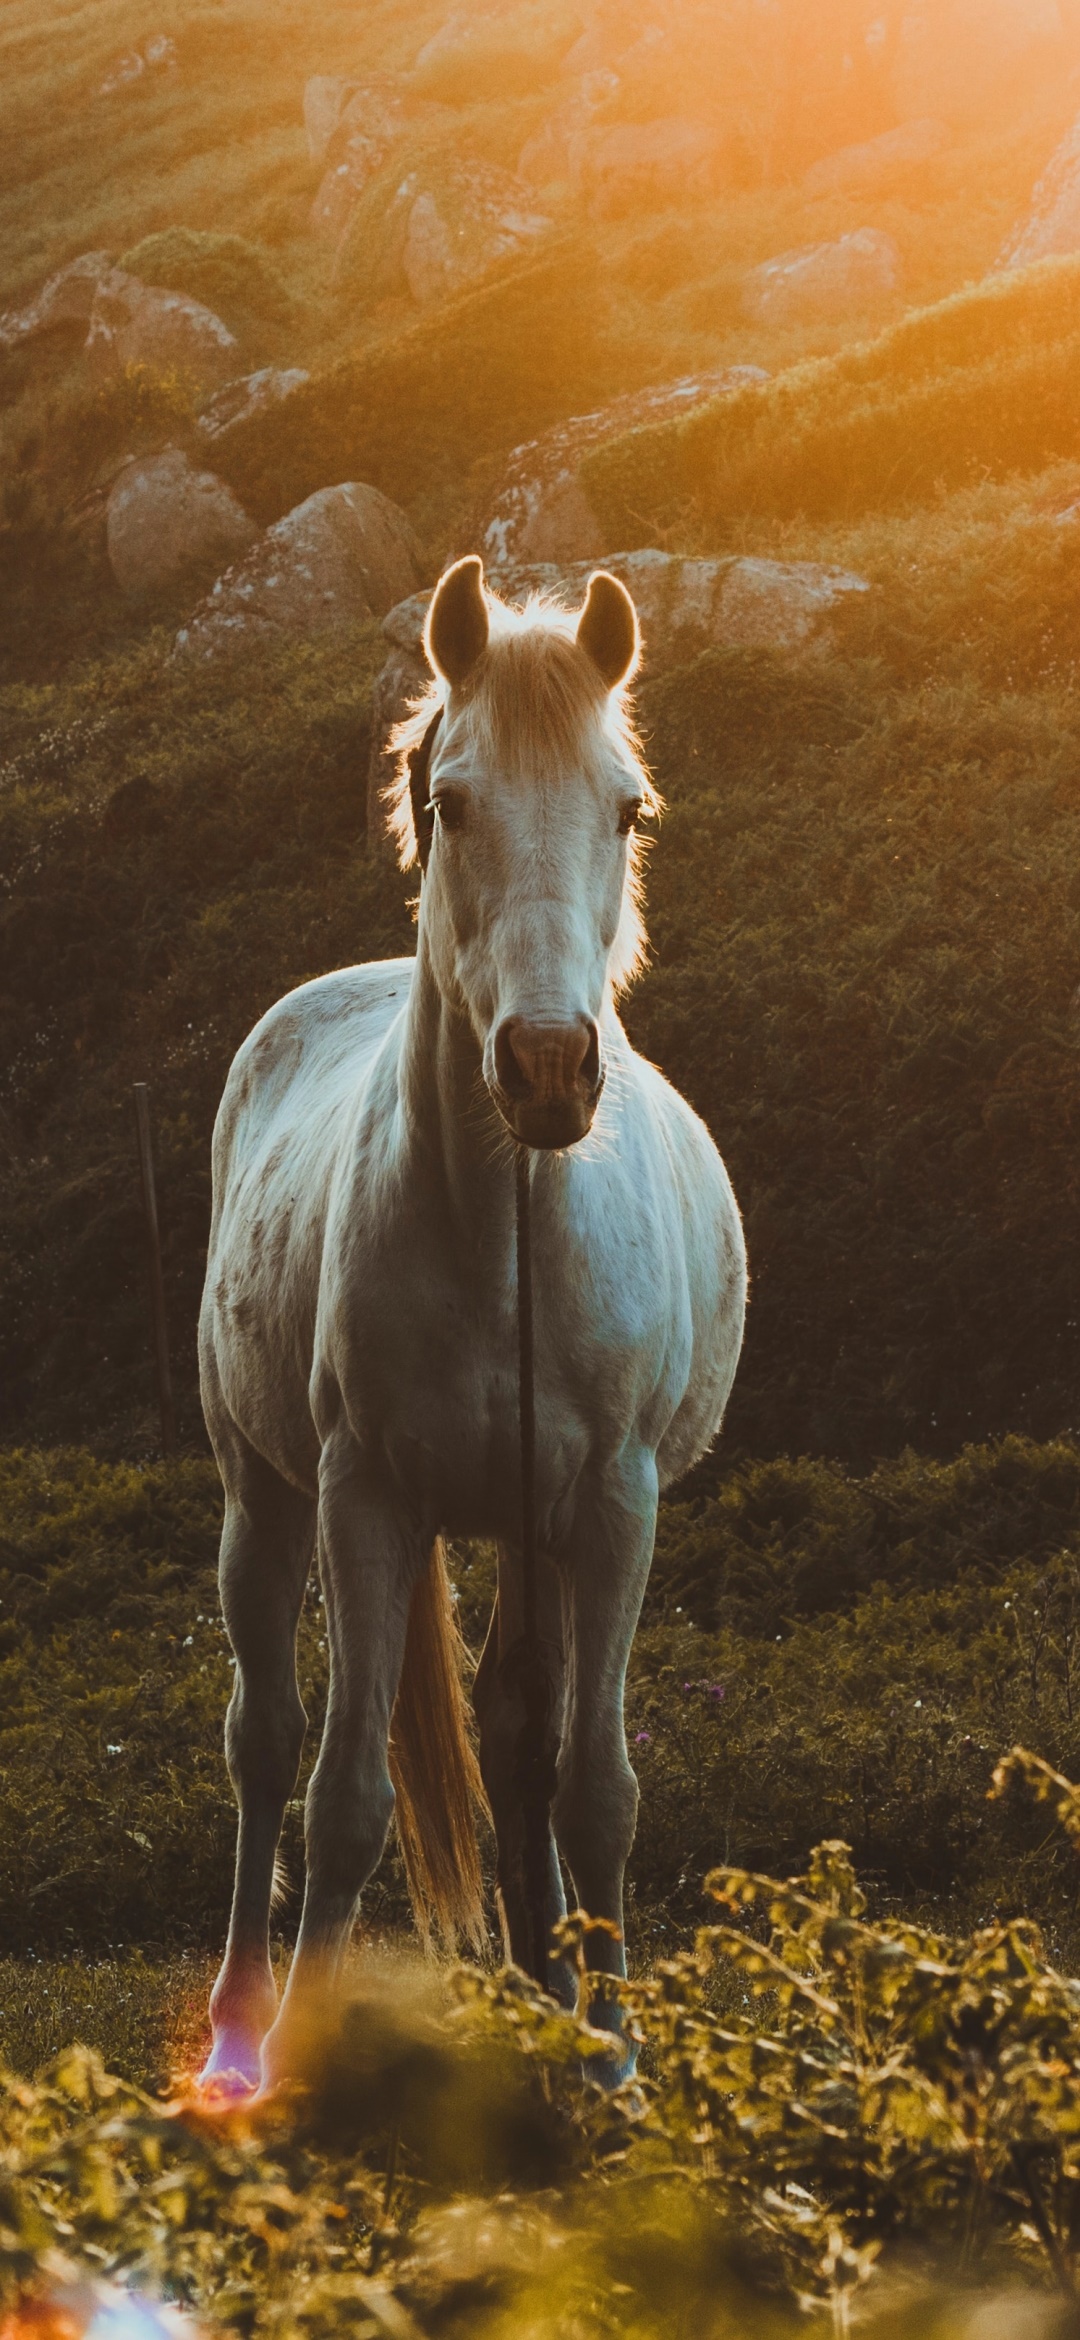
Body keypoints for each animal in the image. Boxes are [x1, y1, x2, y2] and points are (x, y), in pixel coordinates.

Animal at [197, 555, 746, 2092]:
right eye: (450, 802)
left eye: (628, 807)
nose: (550, 1068)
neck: (505, 1233)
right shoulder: (366, 1498)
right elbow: (342, 1799)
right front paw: (300, 2070)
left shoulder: (612, 1506)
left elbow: (594, 1786)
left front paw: (612, 2062)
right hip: (263, 1497)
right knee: (264, 1744)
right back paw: (237, 2030)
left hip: (530, 1528)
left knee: (515, 1743)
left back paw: (545, 1998)